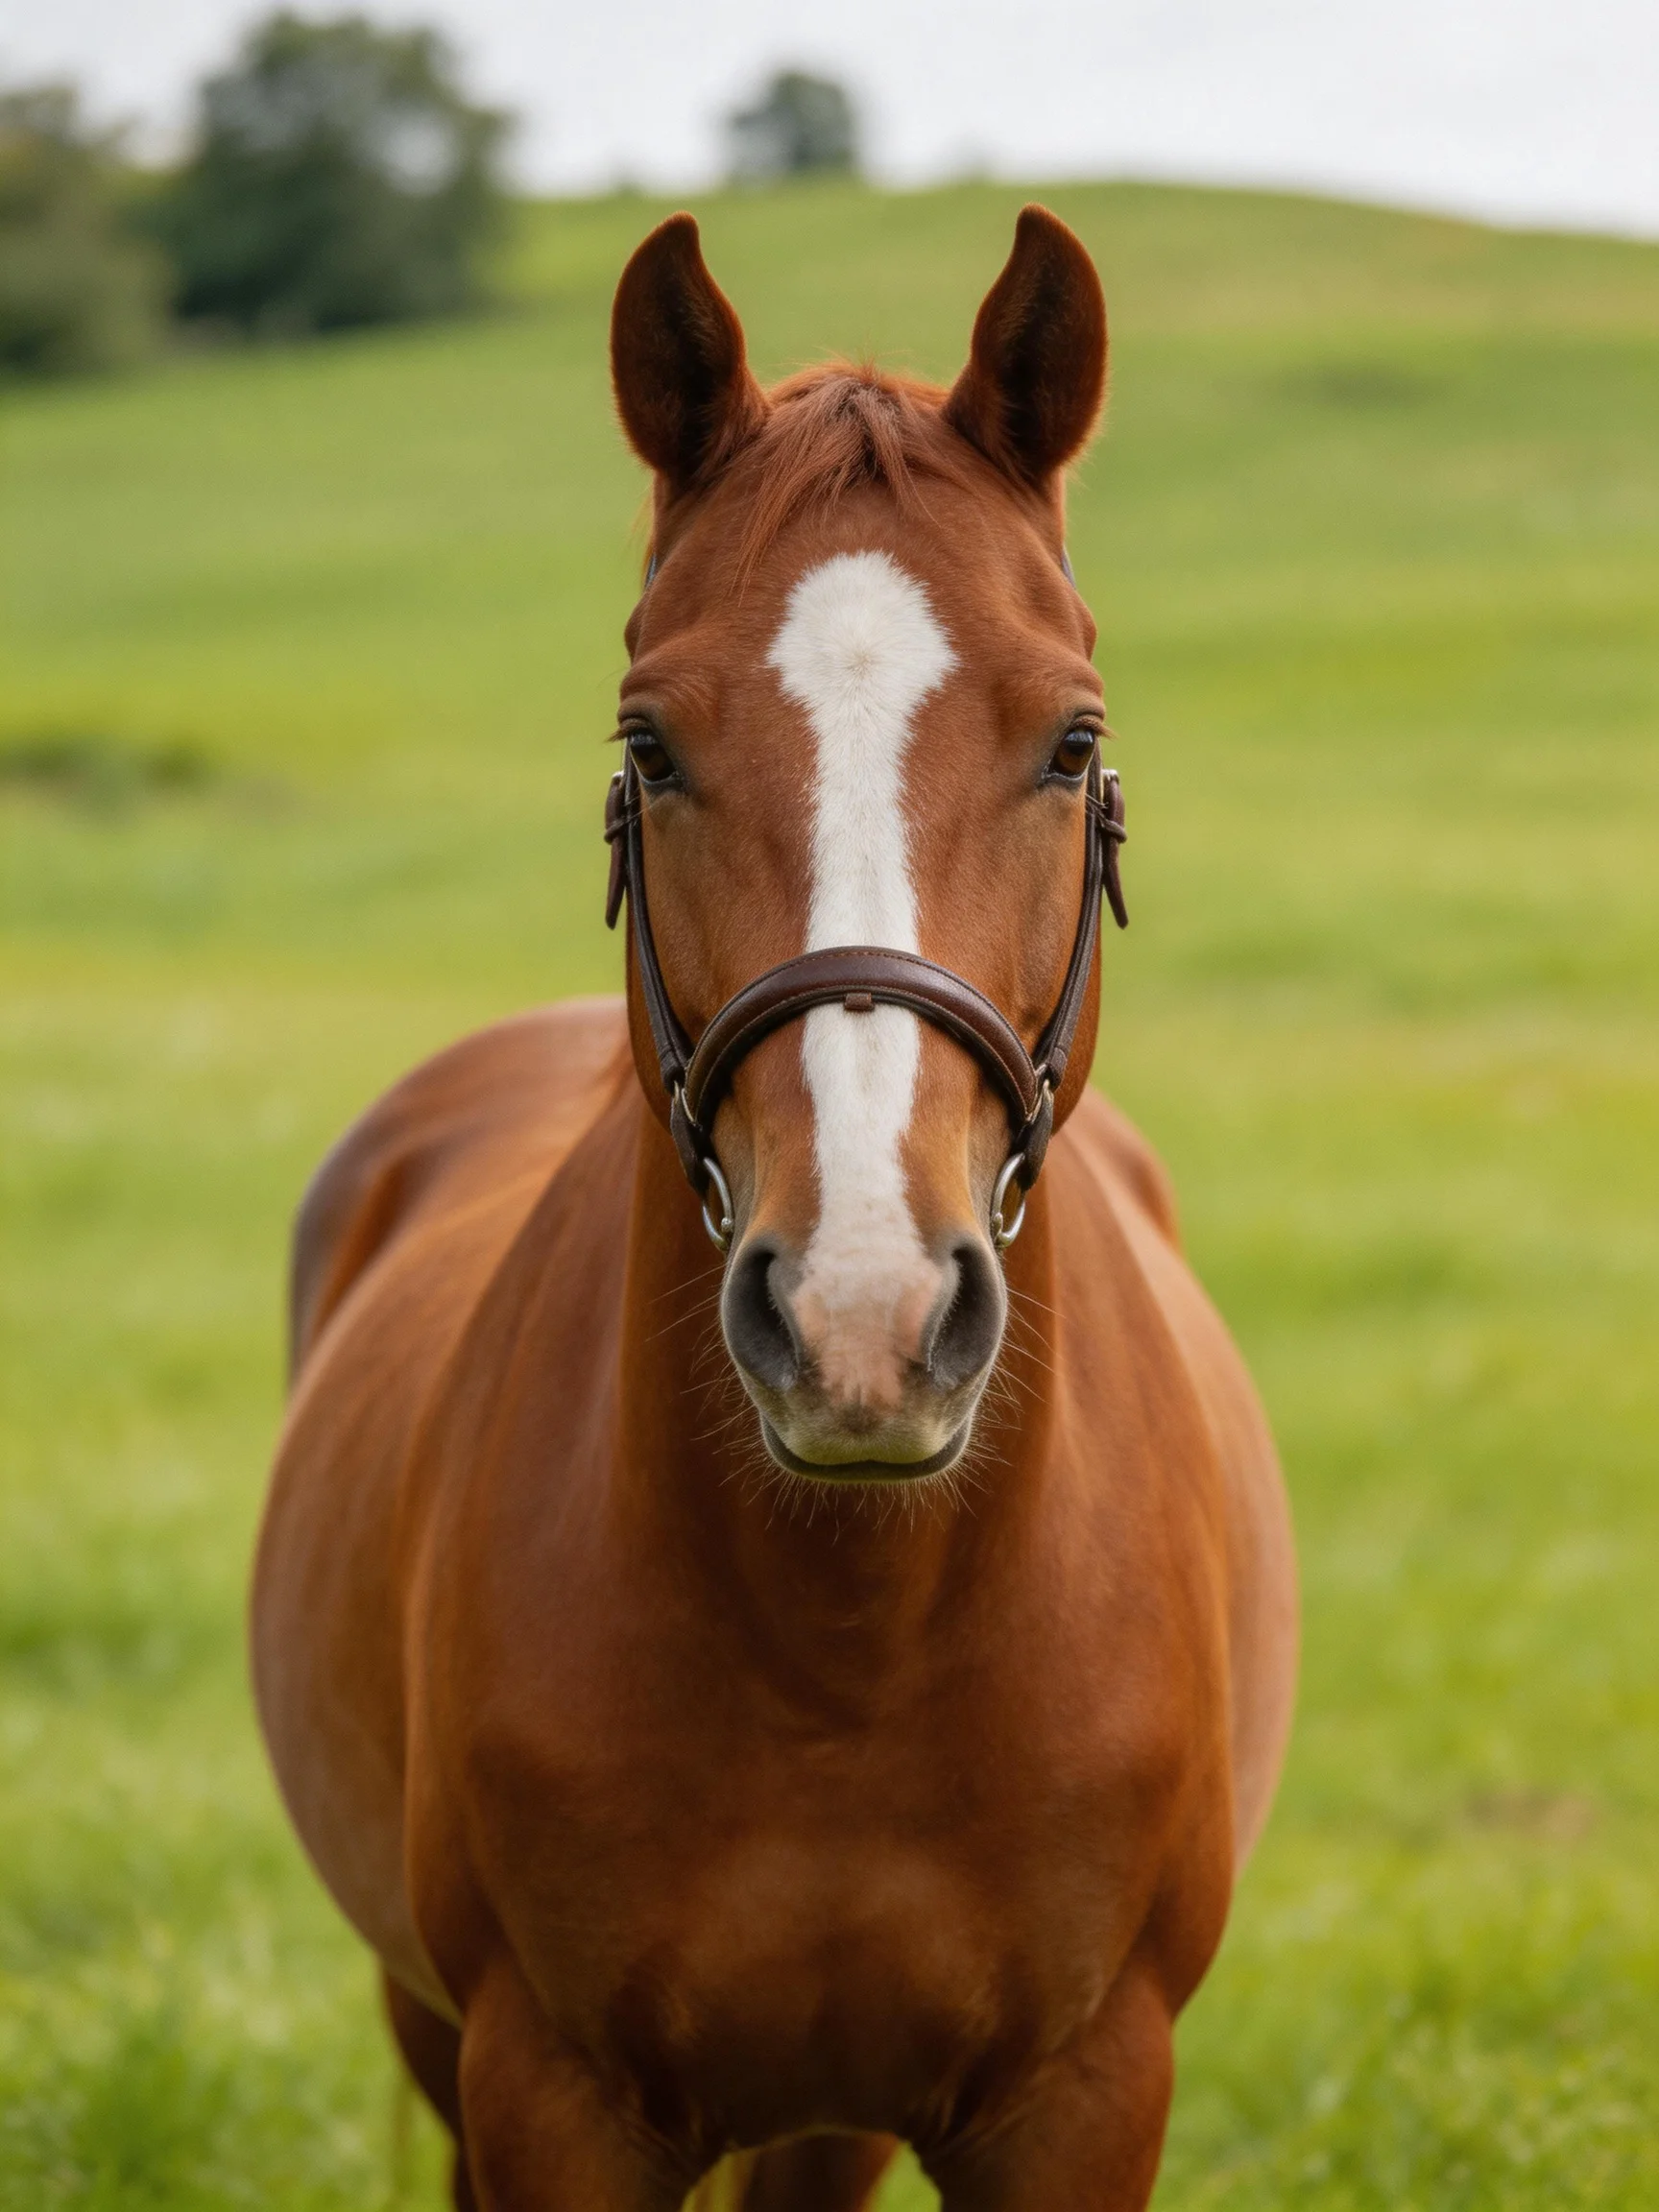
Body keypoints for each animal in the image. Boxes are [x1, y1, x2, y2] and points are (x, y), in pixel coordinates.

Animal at [252, 204, 1297, 2212]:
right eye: (649, 743)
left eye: (1071, 740)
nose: (859, 1320)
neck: (849, 1645)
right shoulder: (546, 2091)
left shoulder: (1078, 2095)